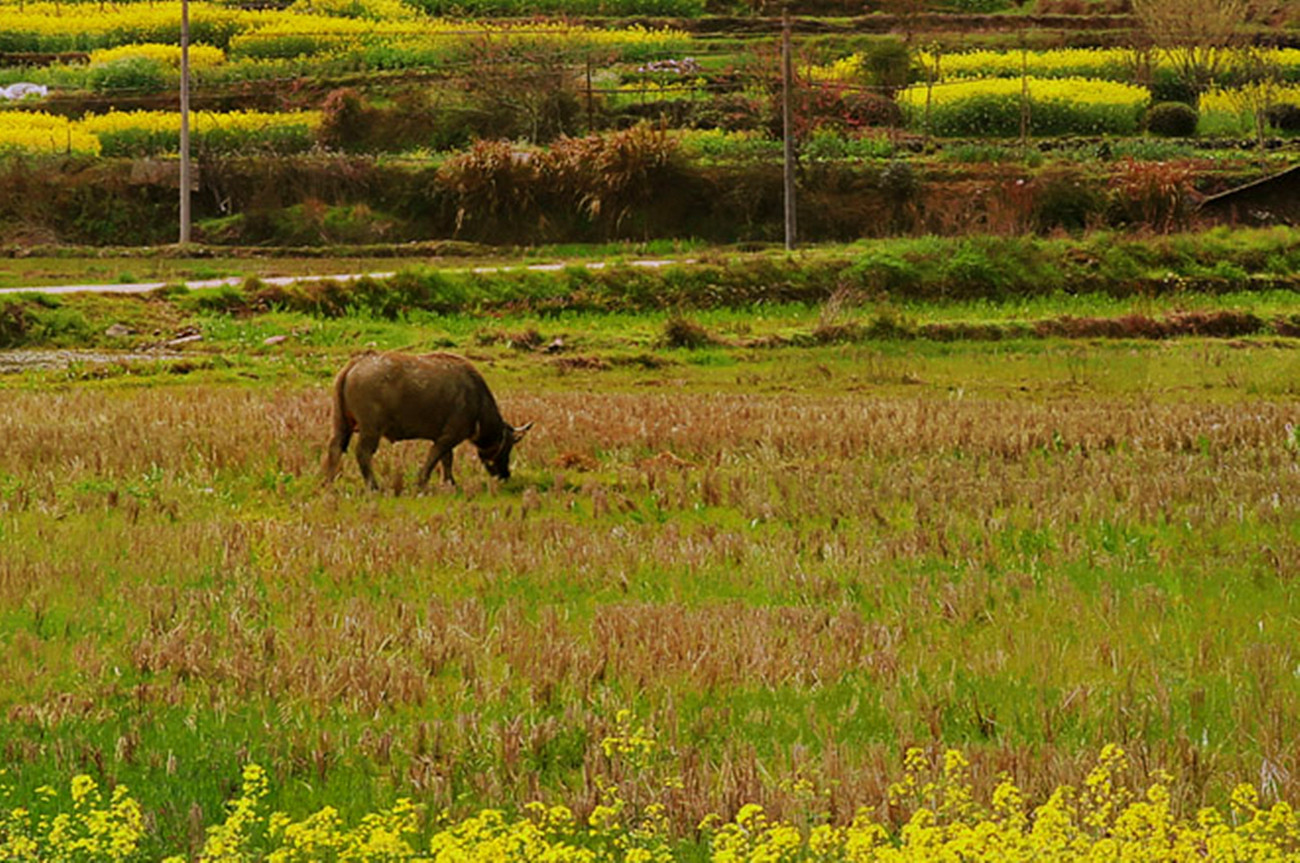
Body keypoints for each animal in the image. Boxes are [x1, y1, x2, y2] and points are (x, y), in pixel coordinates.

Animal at [322, 348, 530, 488]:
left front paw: (450, 482)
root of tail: (356, 363)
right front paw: (421, 482)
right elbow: (434, 458)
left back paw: (329, 482)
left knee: (335, 448)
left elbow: (447, 459)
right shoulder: (449, 437)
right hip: (370, 429)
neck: (477, 400)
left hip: (341, 422)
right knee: (363, 453)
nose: (505, 475)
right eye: (508, 446)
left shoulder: (444, 437)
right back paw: (374, 486)